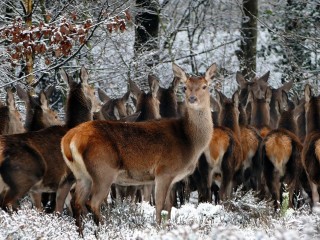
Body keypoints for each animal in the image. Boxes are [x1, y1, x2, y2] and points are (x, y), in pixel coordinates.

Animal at [0, 66, 99, 213]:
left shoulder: (37, 190)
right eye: (93, 91)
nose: (100, 105)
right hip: (24, 176)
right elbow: (59, 209)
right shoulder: (67, 179)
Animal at [61, 62, 216, 232]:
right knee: (92, 202)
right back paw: (104, 229)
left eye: (205, 86)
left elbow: (169, 207)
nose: (192, 98)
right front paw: (158, 229)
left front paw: (168, 227)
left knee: (76, 202)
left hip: (82, 175)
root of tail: (69, 138)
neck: (189, 141)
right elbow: (159, 205)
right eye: (185, 87)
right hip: (103, 170)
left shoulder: (172, 177)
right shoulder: (164, 171)